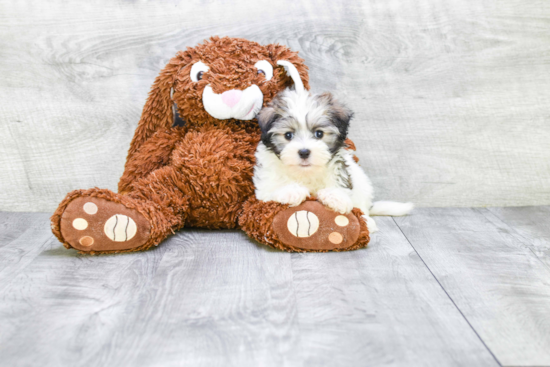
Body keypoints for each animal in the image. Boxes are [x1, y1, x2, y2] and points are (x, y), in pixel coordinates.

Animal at [254, 89, 414, 233]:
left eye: (319, 134)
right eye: (288, 135)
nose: (304, 152)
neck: (306, 172)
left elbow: (343, 191)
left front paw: (335, 196)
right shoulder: (264, 187)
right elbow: (270, 191)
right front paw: (291, 191)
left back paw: (368, 222)